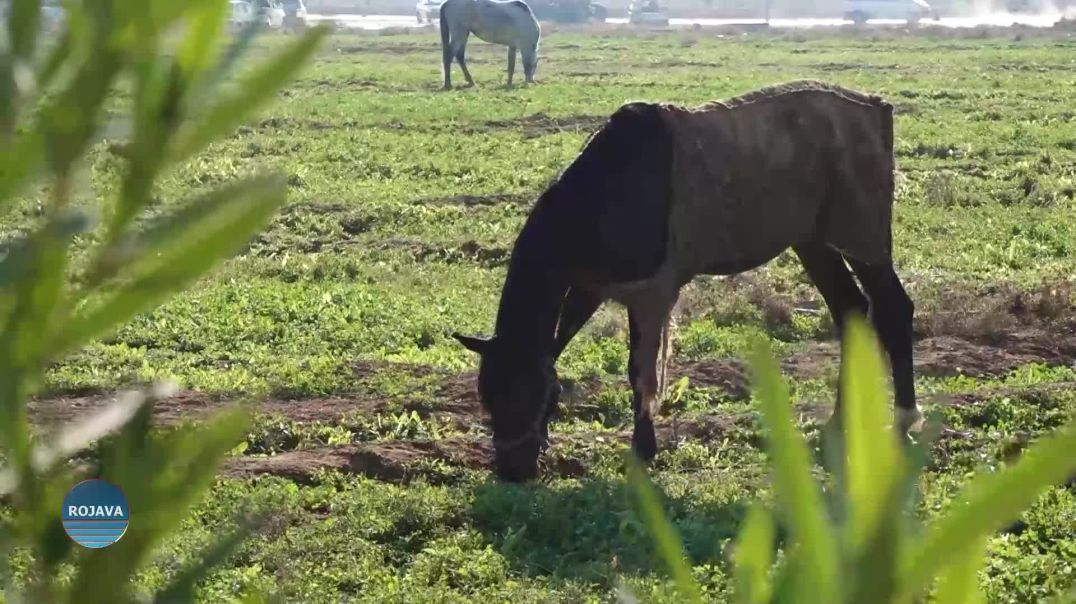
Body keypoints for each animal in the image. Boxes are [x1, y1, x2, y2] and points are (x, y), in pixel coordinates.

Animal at [451, 81, 916, 484]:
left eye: (525, 394)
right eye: (487, 395)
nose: (512, 471)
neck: (604, 193)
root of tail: (878, 109)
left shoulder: (652, 294)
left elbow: (642, 371)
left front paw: (642, 449)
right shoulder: (590, 288)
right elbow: (558, 347)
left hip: (863, 238)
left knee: (893, 309)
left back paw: (905, 418)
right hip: (815, 242)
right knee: (850, 310)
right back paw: (841, 423)